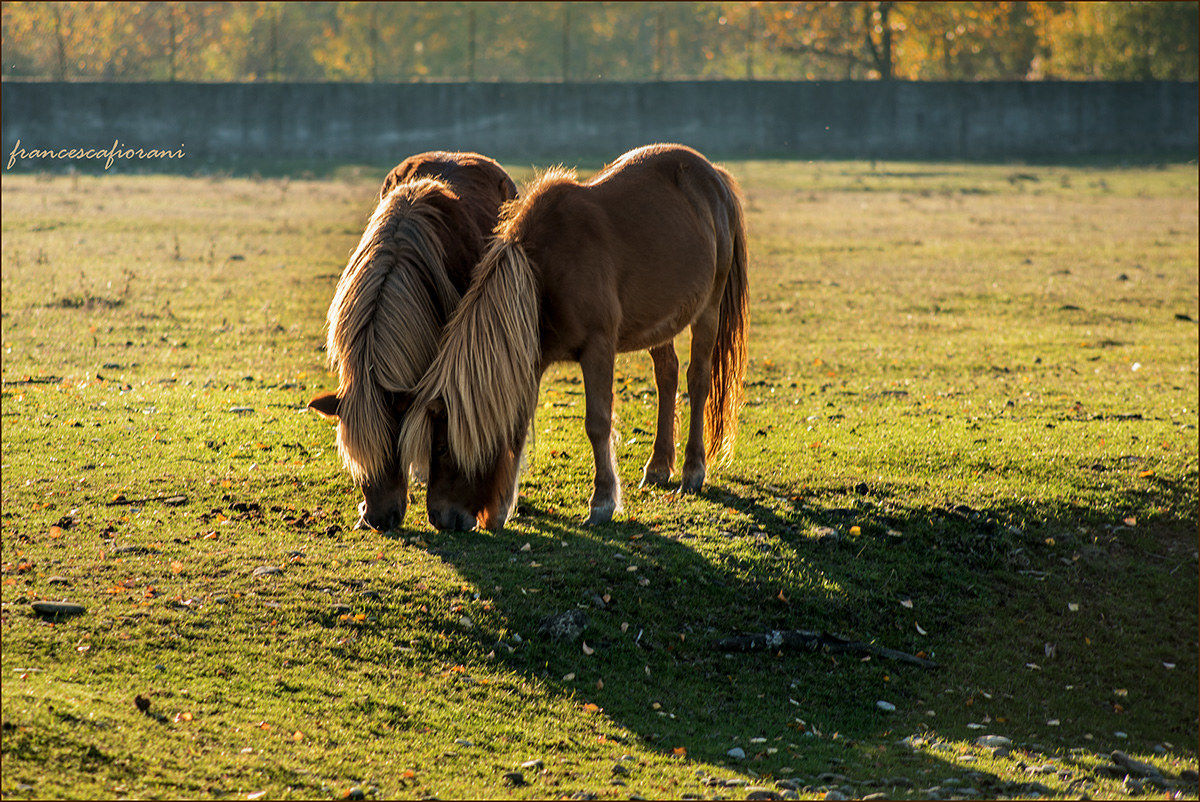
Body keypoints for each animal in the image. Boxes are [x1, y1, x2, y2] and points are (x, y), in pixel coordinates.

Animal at [398, 145, 744, 533]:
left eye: (442, 448)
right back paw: (657, 467)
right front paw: (502, 509)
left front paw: (603, 503)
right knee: (667, 375)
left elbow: (598, 423)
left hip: (708, 309)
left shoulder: (598, 348)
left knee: (697, 380)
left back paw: (692, 471)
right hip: (660, 323)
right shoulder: (531, 360)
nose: (441, 517)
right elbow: (517, 426)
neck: (542, 275)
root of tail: (713, 175)